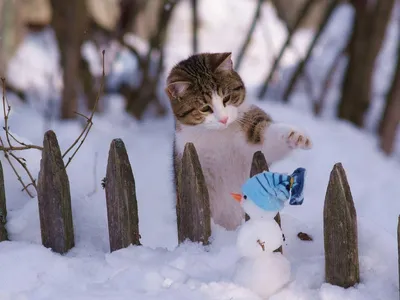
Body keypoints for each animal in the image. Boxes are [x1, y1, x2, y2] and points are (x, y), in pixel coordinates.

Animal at [164, 52, 310, 230]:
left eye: (226, 98)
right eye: (205, 108)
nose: (224, 119)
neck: (219, 135)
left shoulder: (250, 135)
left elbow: (268, 141)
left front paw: (296, 135)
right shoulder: (189, 155)